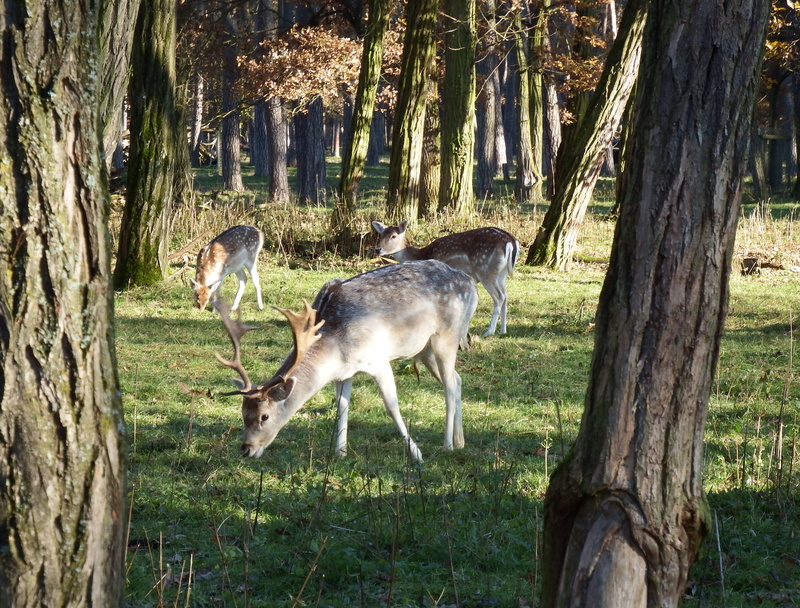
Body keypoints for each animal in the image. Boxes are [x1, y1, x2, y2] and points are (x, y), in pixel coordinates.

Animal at [213, 259, 478, 462]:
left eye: (264, 416)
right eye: (242, 413)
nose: (246, 449)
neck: (336, 348)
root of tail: (471, 284)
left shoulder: (378, 360)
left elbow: (391, 407)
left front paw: (416, 454)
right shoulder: (345, 372)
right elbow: (342, 406)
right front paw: (340, 452)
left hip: (447, 335)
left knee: (449, 385)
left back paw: (447, 444)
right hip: (423, 349)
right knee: (457, 378)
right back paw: (461, 441)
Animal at [372, 221, 519, 337]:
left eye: (393, 236)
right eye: (381, 234)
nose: (378, 249)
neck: (420, 255)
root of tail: (511, 242)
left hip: (486, 270)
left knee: (499, 297)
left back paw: (489, 331)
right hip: (501, 274)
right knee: (506, 296)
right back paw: (503, 331)